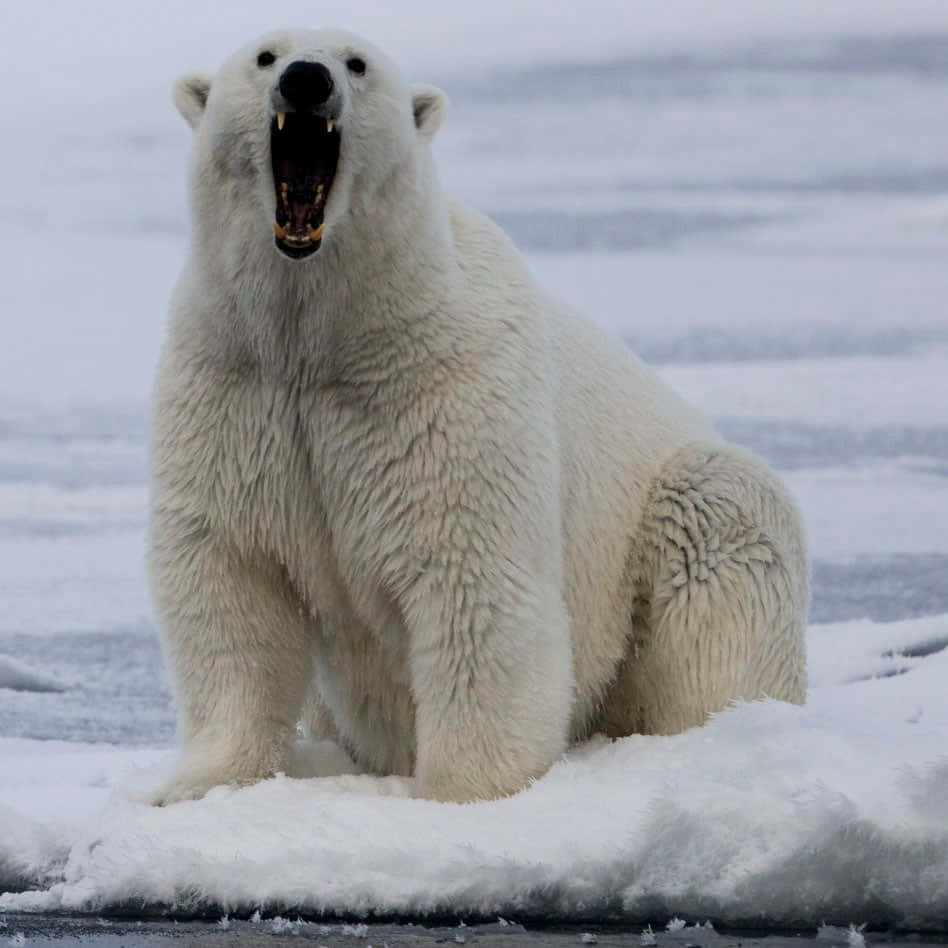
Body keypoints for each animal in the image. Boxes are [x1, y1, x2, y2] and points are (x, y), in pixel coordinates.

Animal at [149, 27, 809, 806]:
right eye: (265, 55)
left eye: (357, 63)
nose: (307, 81)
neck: (330, 334)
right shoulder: (235, 388)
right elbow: (231, 580)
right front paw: (196, 784)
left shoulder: (443, 389)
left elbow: (472, 577)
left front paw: (464, 792)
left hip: (672, 517)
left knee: (721, 542)